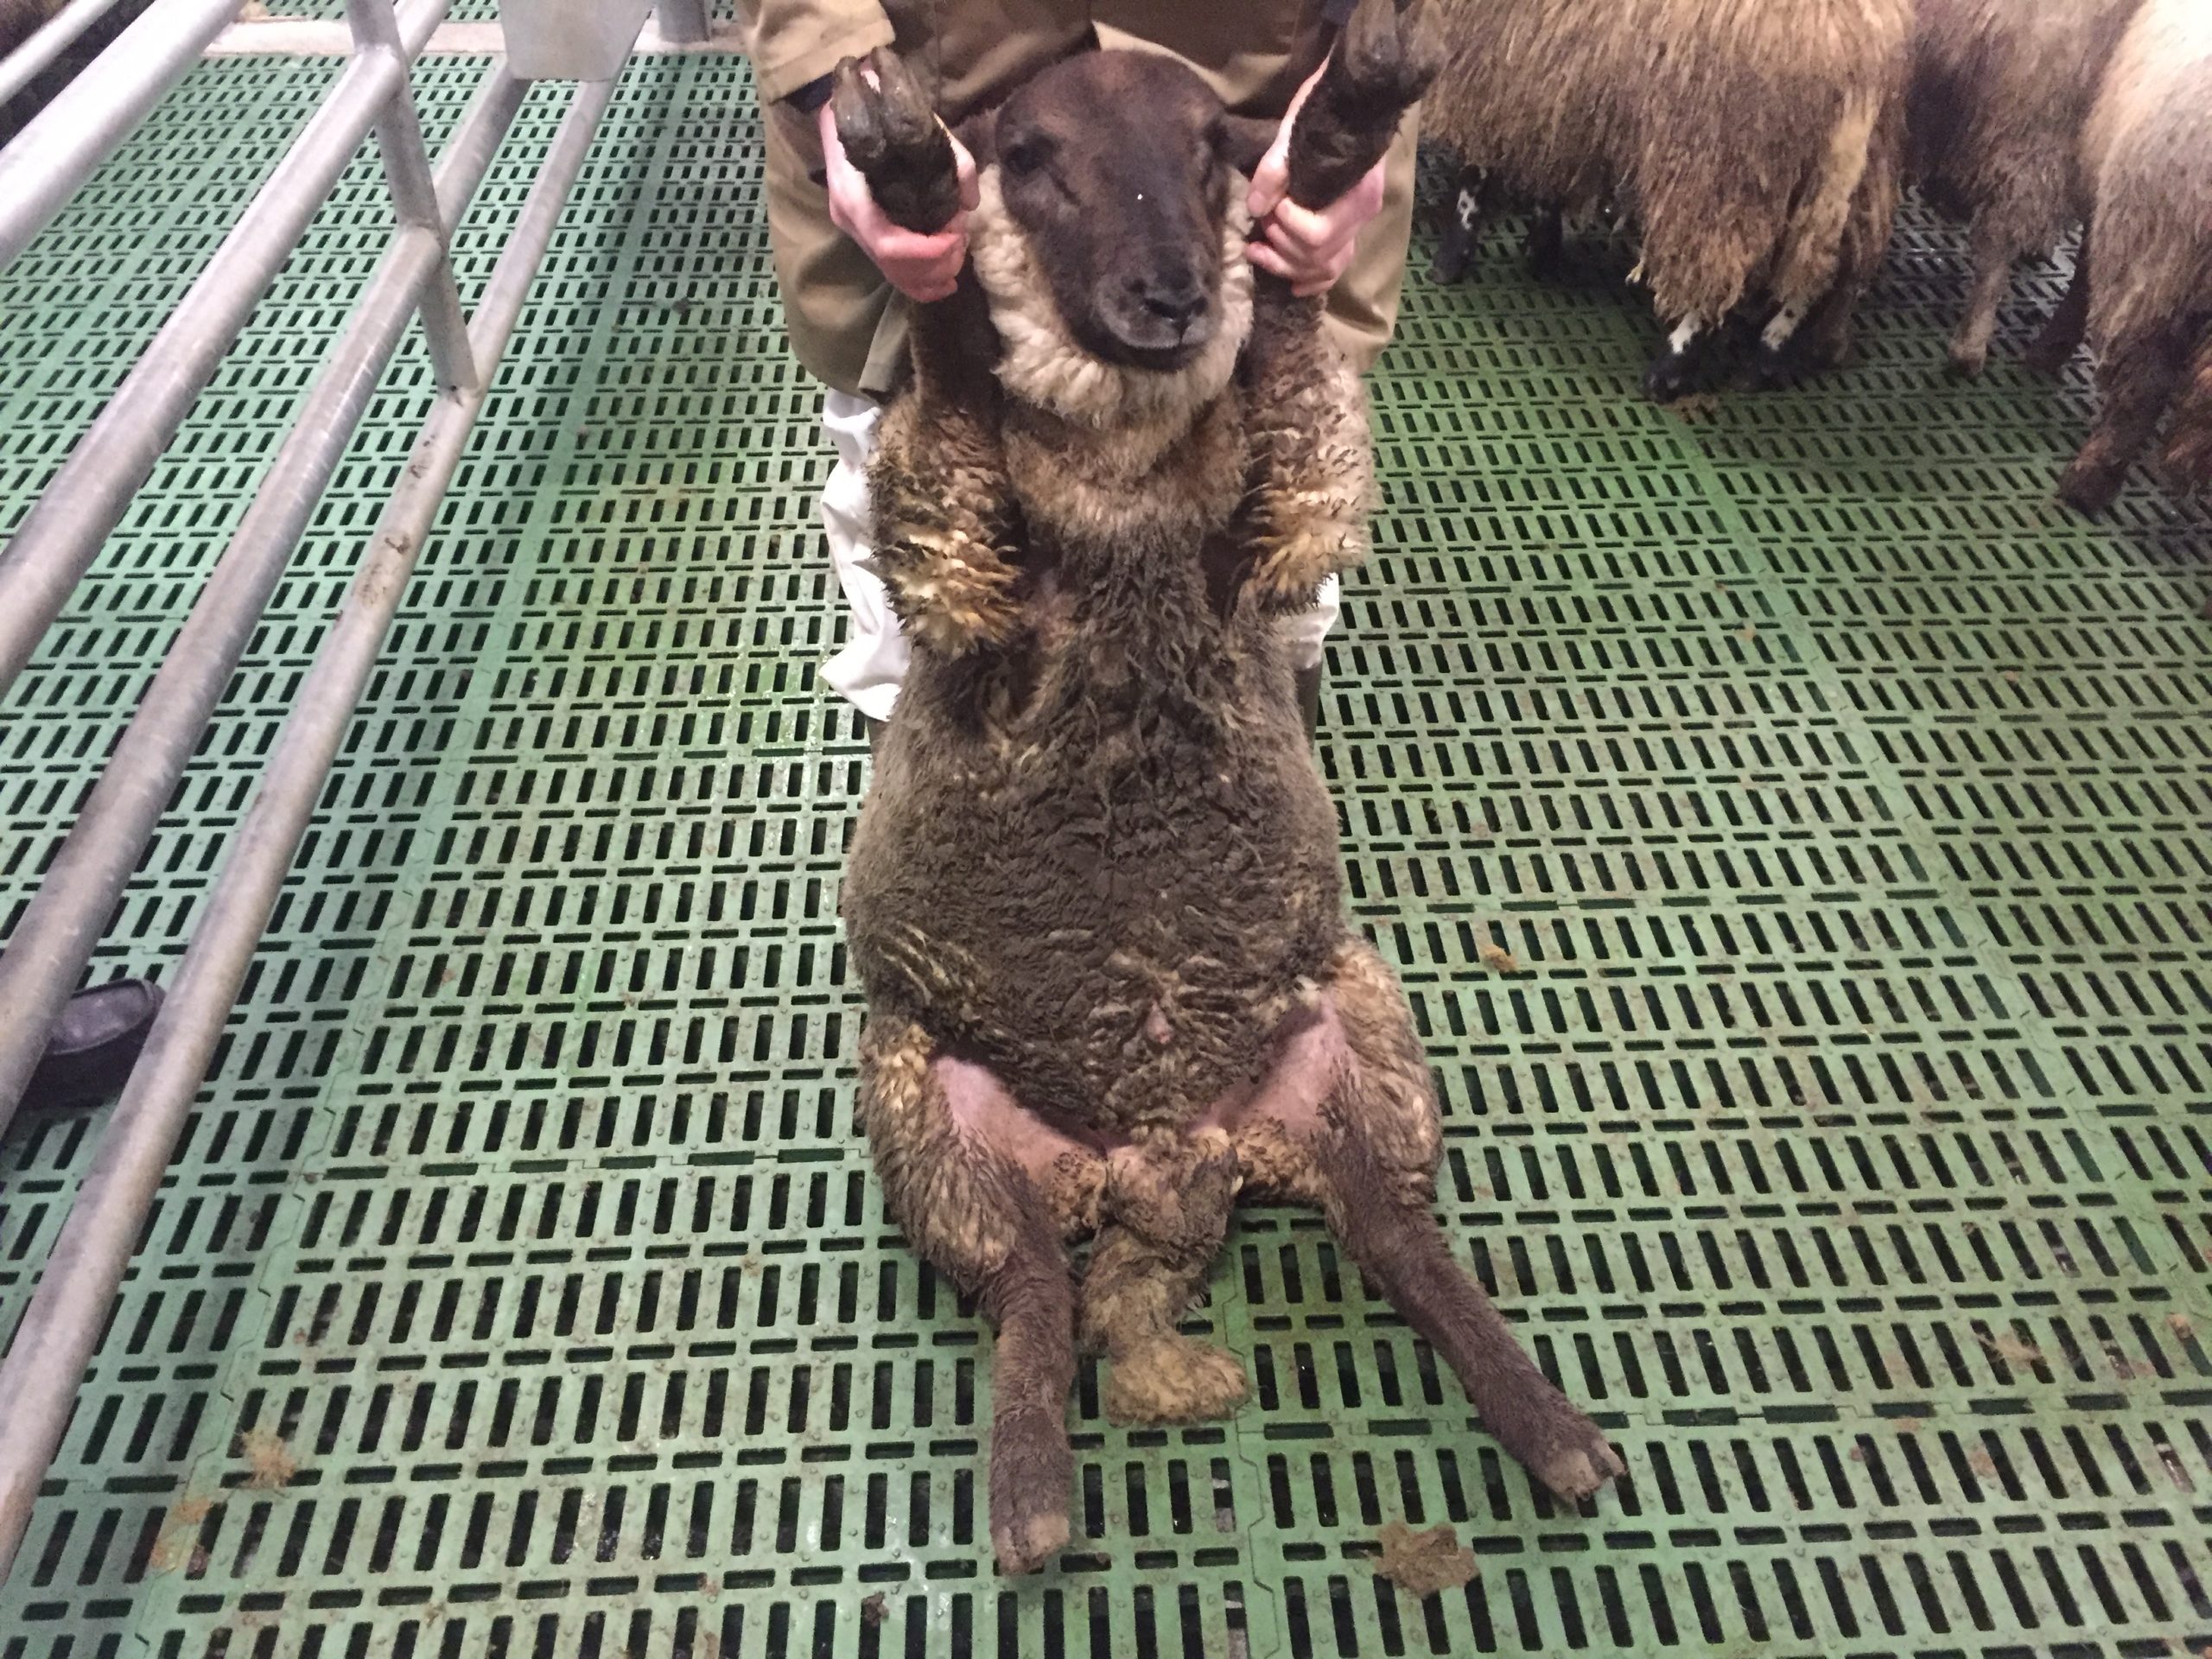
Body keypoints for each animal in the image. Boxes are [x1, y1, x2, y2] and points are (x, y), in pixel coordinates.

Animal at [828, 0, 1623, 1577]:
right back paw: (1033, 1501)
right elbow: (947, 381)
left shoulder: (1276, 521)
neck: (1128, 471)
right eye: (1031, 155)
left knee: (1393, 1234)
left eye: (1212, 149)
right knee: (1032, 1291)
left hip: (1363, 1033)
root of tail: (1165, 1152)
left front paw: (1352, 118)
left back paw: (1548, 1430)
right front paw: (909, 179)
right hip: (921, 1107)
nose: (1174, 301)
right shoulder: (964, 581)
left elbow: (1302, 361)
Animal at [1425, 0, 1913, 401]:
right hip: (1847, 177)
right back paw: (1767, 356)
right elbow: (1552, 173)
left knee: (1722, 268)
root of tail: (1855, 43)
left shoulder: (1492, 71)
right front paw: (1541, 244)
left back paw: (1671, 367)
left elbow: (1475, 172)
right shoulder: (1556, 84)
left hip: (1718, 167)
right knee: (1820, 269)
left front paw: (1453, 256)